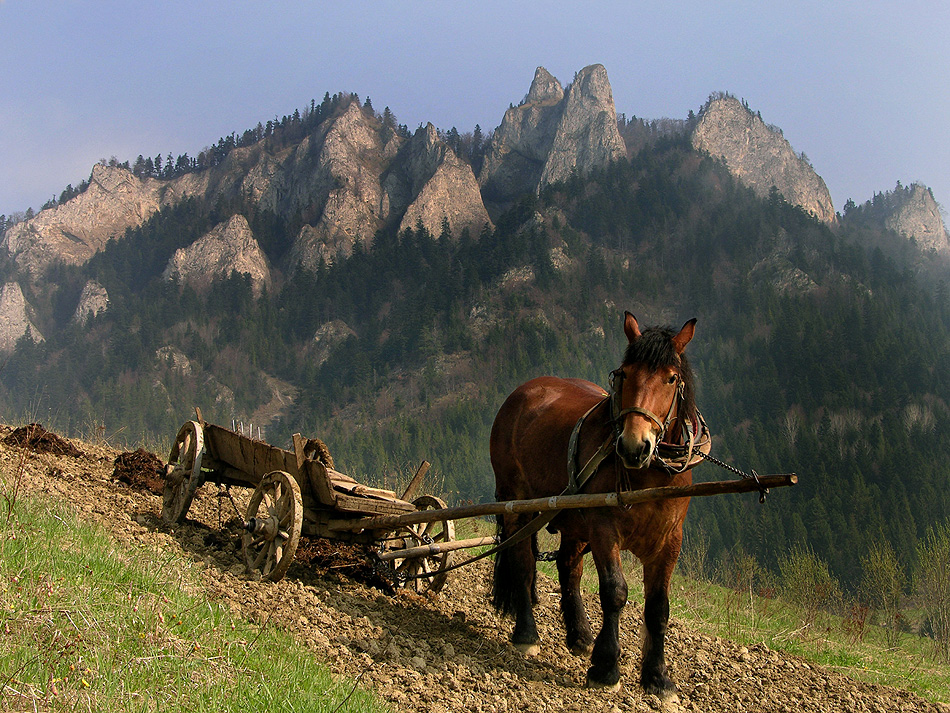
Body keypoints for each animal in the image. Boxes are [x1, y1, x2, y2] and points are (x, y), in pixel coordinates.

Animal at [490, 312, 708, 696]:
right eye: (624, 373)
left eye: (671, 378)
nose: (634, 446)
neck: (650, 473)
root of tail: (524, 391)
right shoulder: (605, 528)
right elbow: (615, 591)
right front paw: (606, 668)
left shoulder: (670, 541)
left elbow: (658, 607)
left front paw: (657, 677)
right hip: (517, 503)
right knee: (523, 562)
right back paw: (526, 634)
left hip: (574, 520)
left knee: (568, 567)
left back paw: (579, 635)